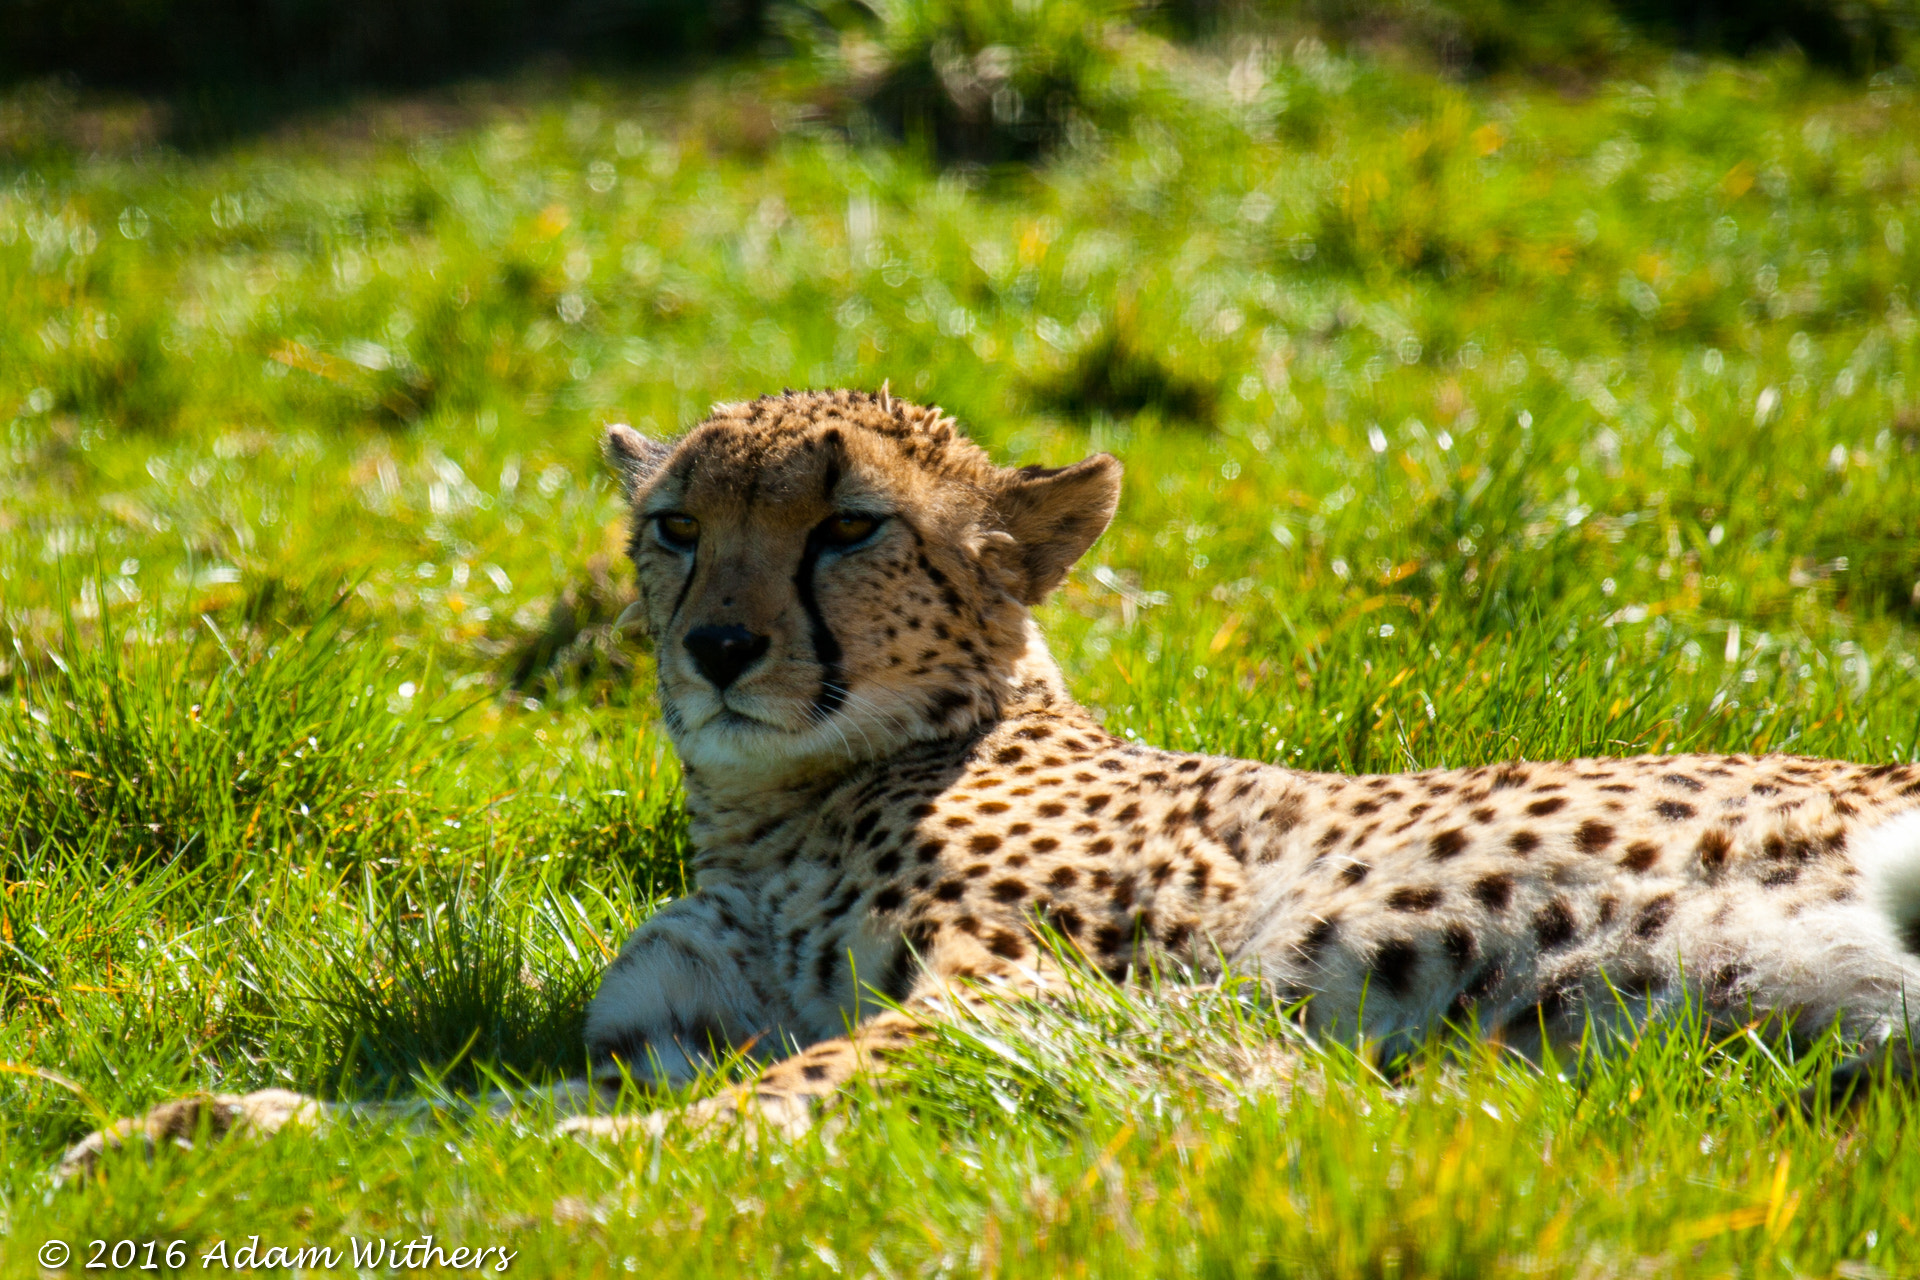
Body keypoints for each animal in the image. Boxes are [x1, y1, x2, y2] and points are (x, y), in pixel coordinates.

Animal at [59, 387, 1920, 1178]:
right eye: (674, 528)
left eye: (848, 529)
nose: (719, 649)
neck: (774, 810)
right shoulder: (668, 1036)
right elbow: (449, 1107)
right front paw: (207, 1132)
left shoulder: (1016, 1002)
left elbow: (748, 1109)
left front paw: (614, 1184)